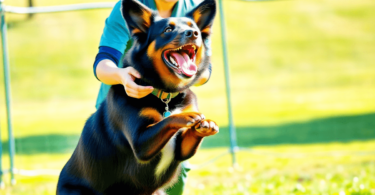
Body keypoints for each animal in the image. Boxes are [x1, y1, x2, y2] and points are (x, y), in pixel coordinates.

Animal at [57, 0, 219, 193]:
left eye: (194, 28)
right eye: (168, 30)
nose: (193, 33)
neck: (166, 96)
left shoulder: (181, 149)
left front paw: (207, 124)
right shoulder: (140, 144)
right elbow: (167, 120)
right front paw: (187, 116)